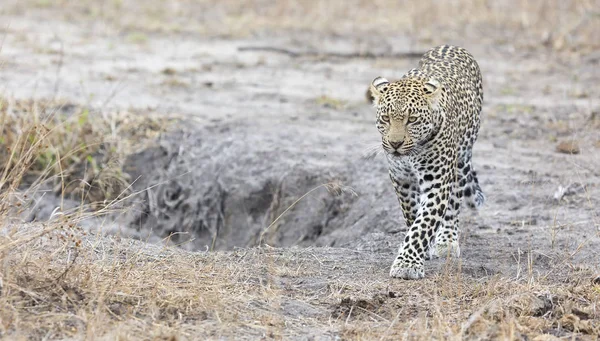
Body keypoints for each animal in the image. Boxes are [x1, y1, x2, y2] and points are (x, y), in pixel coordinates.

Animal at [368, 45, 486, 278]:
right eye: (386, 118)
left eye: (412, 120)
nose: (395, 143)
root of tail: (453, 45)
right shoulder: (401, 179)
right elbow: (413, 215)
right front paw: (420, 249)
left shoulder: (437, 182)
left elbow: (424, 223)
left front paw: (407, 264)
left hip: (459, 163)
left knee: (454, 203)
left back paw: (447, 240)